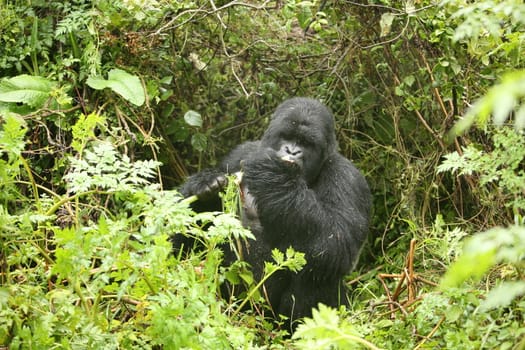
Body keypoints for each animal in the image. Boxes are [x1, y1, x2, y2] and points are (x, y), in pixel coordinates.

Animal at [178, 97, 370, 330]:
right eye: (286, 136)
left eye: (306, 144)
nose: (292, 151)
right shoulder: (238, 155)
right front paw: (204, 185)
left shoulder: (348, 177)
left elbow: (336, 241)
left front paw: (275, 177)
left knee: (320, 266)